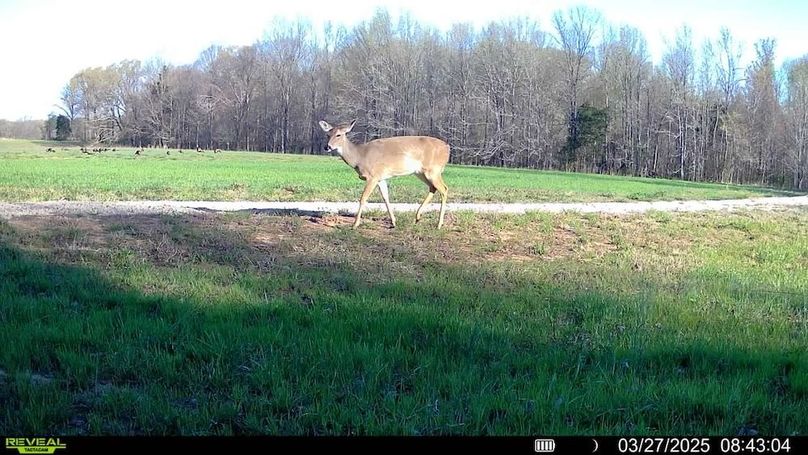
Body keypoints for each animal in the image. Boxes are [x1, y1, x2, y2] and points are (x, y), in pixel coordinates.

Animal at [318, 119, 450, 229]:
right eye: (327, 135)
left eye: (339, 135)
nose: (327, 146)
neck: (359, 157)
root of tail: (447, 148)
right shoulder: (380, 178)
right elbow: (386, 197)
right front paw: (394, 222)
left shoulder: (372, 176)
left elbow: (363, 198)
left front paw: (355, 224)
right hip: (420, 172)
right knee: (433, 188)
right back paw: (417, 217)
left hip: (433, 170)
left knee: (444, 189)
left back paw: (439, 224)